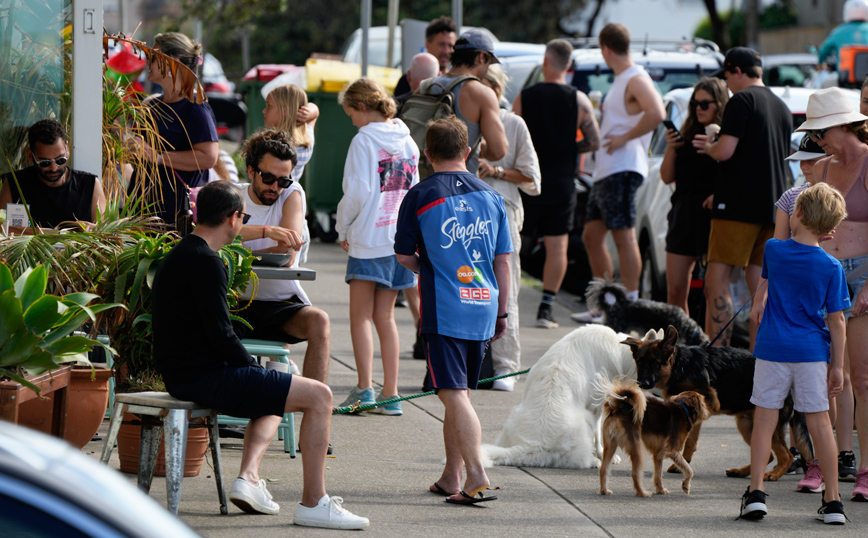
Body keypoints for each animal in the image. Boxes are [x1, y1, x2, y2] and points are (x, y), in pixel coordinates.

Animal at [482, 322, 652, 464]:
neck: (618, 351)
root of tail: (534, 445)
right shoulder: (595, 406)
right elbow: (598, 433)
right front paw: (602, 454)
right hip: (584, 419)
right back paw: (593, 461)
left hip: (514, 415)